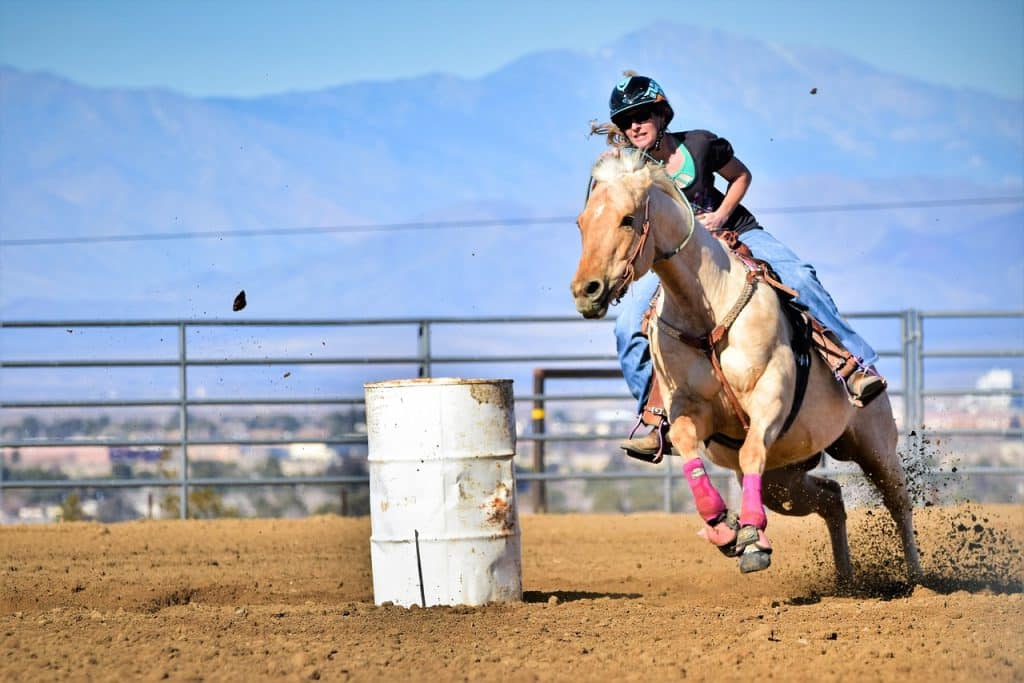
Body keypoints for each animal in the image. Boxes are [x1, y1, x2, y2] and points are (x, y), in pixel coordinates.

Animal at [573, 150, 925, 589]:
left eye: (627, 218)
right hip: (785, 478)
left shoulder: (770, 397)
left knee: (898, 501)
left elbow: (752, 449)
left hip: (873, 444)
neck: (706, 309)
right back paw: (845, 579)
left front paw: (753, 538)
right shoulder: (689, 409)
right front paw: (723, 527)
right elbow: (688, 447)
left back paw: (917, 579)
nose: (586, 290)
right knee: (831, 498)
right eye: (582, 222)